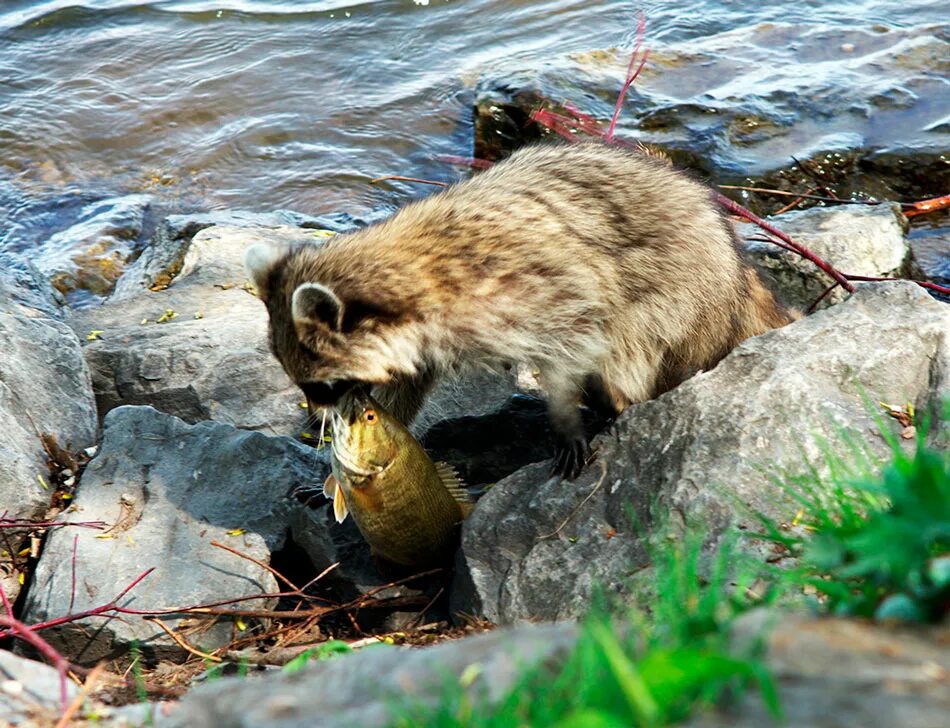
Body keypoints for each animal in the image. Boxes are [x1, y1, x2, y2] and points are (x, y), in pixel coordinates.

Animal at [245, 145, 796, 480]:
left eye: (322, 386)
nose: (315, 416)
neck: (408, 267)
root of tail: (738, 271)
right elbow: (408, 384)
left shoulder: (533, 285)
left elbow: (575, 338)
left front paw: (564, 417)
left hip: (681, 292)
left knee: (631, 340)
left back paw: (614, 394)